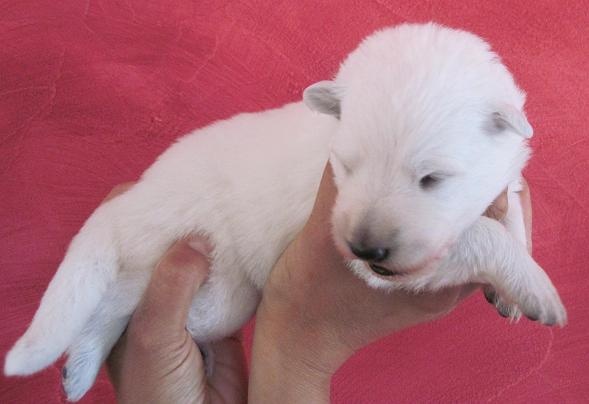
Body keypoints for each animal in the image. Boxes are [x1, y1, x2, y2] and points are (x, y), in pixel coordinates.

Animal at [4, 23, 566, 401]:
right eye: (347, 164)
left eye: (432, 179)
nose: (364, 248)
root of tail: (133, 198)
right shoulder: (387, 269)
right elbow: (480, 236)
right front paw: (536, 288)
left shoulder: (503, 175)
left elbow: (510, 212)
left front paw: (509, 288)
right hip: (201, 275)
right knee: (118, 304)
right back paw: (80, 362)